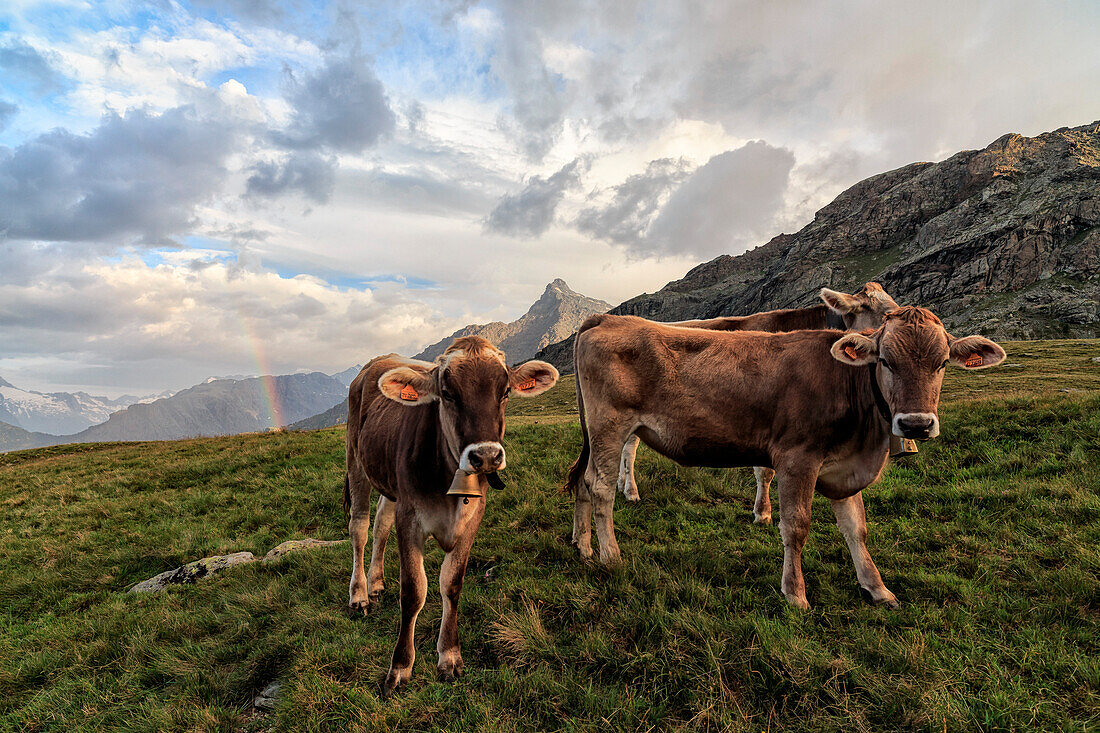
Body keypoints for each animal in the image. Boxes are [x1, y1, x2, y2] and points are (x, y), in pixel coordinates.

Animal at [345, 336, 558, 691]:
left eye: (505, 392)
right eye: (447, 393)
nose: (485, 456)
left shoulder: (472, 521)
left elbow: (451, 584)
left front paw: (449, 656)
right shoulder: (410, 517)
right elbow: (413, 591)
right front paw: (400, 666)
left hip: (389, 483)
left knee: (380, 525)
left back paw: (375, 583)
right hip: (356, 461)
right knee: (360, 528)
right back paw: (359, 595)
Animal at [567, 305, 1007, 607]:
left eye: (943, 362)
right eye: (885, 360)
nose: (916, 424)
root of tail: (606, 319)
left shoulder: (844, 468)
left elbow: (856, 528)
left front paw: (877, 587)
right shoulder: (797, 459)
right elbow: (795, 526)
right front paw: (795, 593)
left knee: (582, 483)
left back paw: (583, 548)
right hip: (610, 425)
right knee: (600, 487)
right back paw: (610, 556)